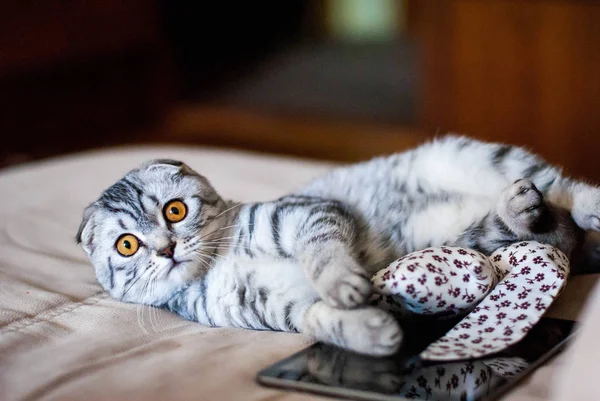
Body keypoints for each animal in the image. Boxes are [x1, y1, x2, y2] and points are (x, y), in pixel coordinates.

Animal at [76, 136, 600, 354]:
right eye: (128, 246)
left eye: (174, 211)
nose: (165, 248)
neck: (219, 263)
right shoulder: (272, 307)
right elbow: (320, 320)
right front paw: (370, 331)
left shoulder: (306, 214)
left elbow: (323, 256)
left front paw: (343, 284)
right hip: (474, 235)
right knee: (554, 229)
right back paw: (521, 210)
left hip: (478, 157)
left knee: (565, 190)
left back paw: (587, 205)